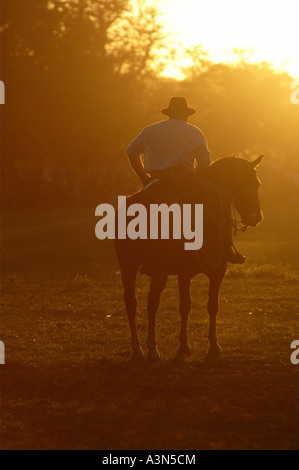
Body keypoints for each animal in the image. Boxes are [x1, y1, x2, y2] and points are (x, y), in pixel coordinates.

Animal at [113, 156, 264, 362]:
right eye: (251, 183)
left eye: (256, 184)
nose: (255, 217)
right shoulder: (214, 270)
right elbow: (204, 305)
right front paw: (207, 346)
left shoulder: (188, 272)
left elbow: (191, 305)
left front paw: (189, 346)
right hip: (159, 268)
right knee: (152, 302)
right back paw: (152, 348)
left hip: (128, 264)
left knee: (131, 301)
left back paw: (137, 349)